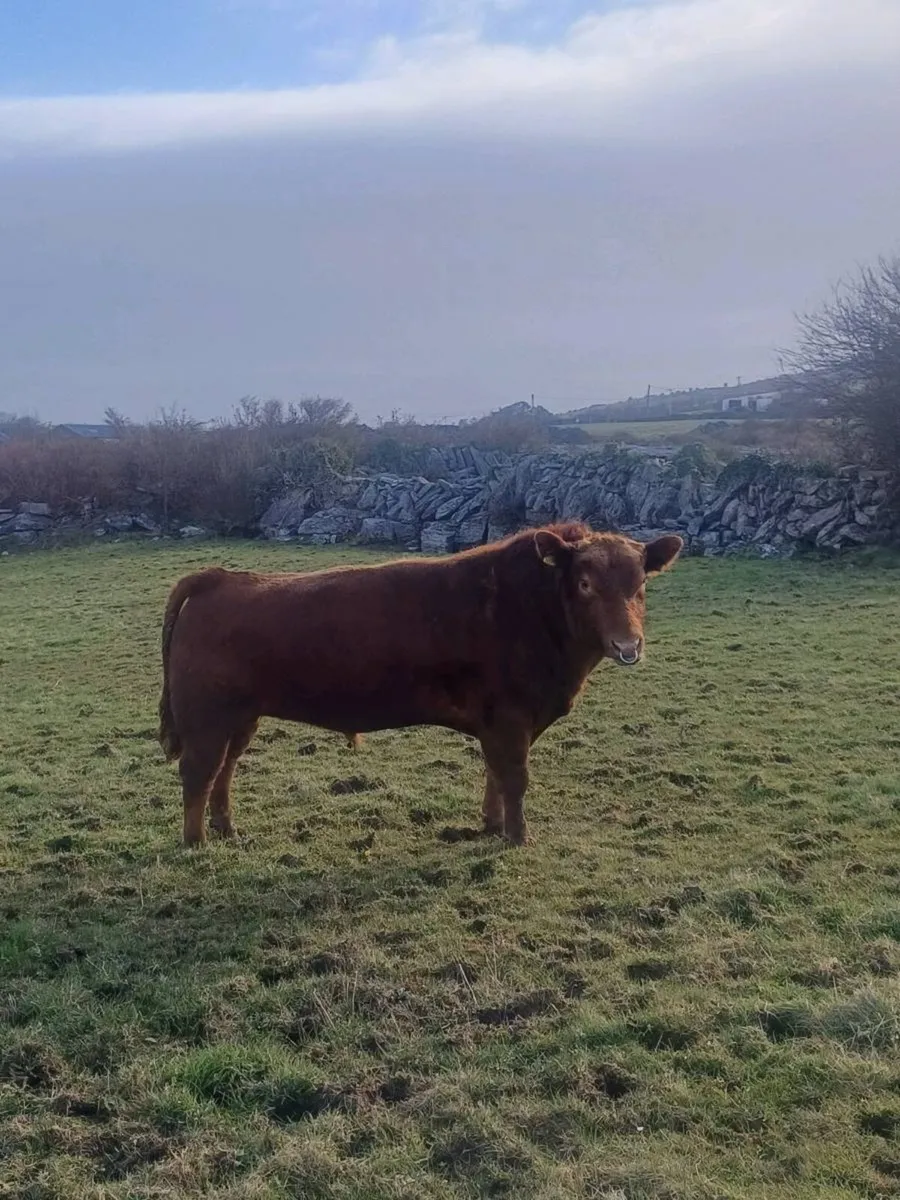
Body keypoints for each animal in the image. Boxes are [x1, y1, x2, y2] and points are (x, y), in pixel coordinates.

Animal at [158, 522, 682, 848]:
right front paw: (517, 837)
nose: (628, 644)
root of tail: (220, 579)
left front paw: (491, 825)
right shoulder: (511, 719)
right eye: (585, 583)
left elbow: (495, 775)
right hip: (207, 721)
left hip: (241, 719)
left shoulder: (500, 726)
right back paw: (197, 842)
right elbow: (514, 778)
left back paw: (226, 830)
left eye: (641, 584)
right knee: (199, 773)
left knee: (225, 771)